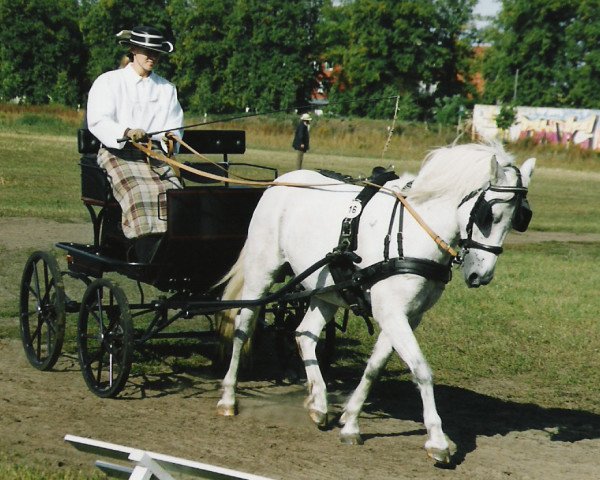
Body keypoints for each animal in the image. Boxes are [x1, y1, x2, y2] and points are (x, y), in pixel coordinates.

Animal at [214, 143, 536, 464]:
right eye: (489, 215)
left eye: (519, 218)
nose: (481, 275)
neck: (414, 232)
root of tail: (281, 181)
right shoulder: (391, 313)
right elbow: (421, 369)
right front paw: (437, 440)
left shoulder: (407, 315)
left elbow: (375, 366)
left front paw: (351, 422)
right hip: (262, 273)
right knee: (243, 326)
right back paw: (228, 397)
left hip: (325, 290)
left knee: (305, 334)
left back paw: (319, 403)